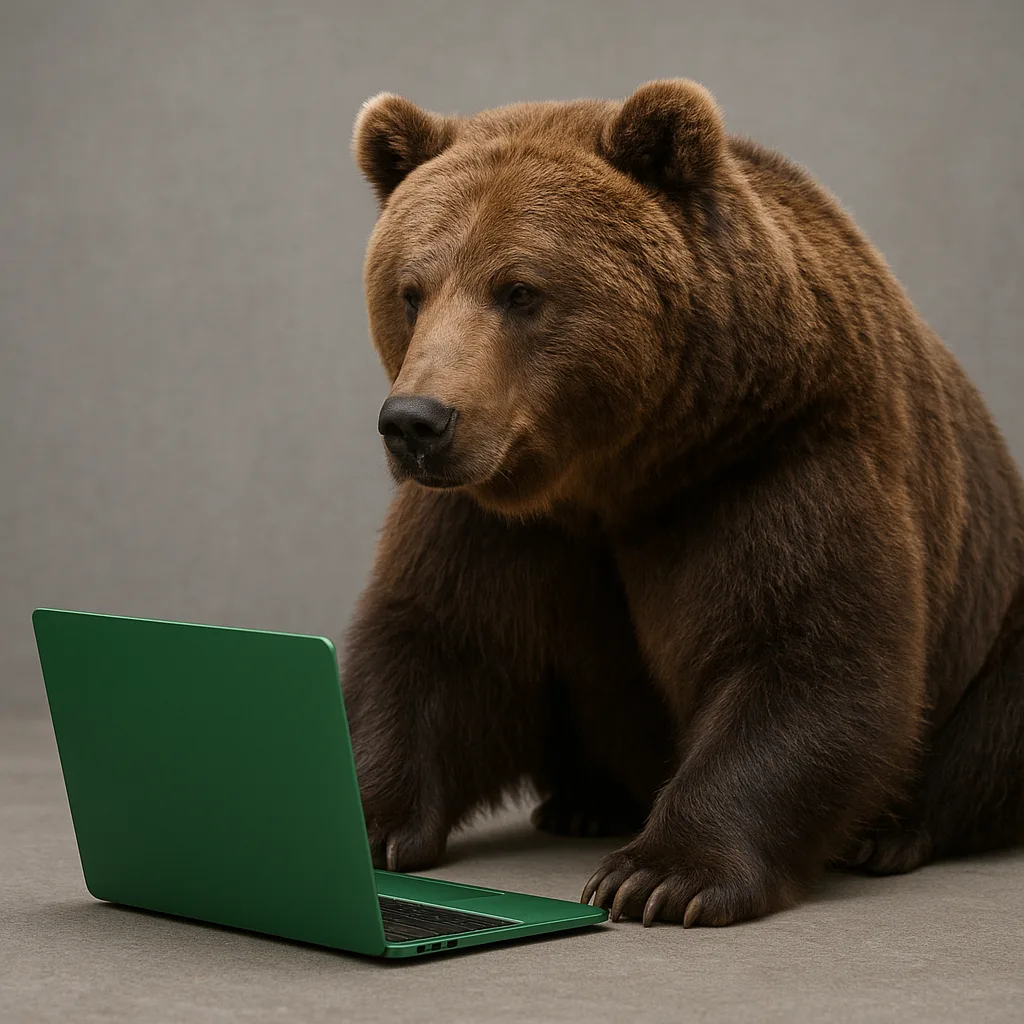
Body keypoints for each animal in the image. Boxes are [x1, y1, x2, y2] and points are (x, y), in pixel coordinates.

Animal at [342, 79, 1024, 927]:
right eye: (411, 290)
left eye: (519, 290)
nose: (416, 421)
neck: (611, 477)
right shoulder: (498, 519)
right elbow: (438, 641)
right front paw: (370, 820)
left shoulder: (775, 461)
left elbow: (804, 653)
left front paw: (661, 876)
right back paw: (587, 801)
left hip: (997, 620)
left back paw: (892, 834)